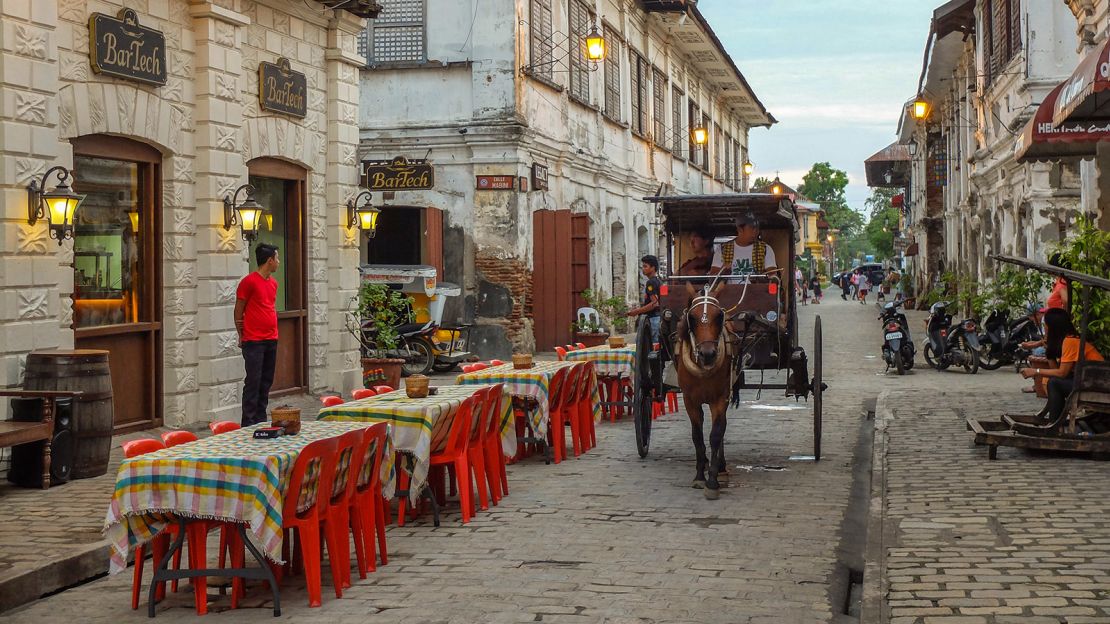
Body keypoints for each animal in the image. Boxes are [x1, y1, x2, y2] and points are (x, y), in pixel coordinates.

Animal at [670, 279, 732, 497]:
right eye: (692, 317)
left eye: (719, 316)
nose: (708, 354)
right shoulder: (690, 400)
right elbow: (697, 436)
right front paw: (699, 476)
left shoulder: (720, 398)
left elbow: (716, 434)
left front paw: (712, 480)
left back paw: (720, 467)